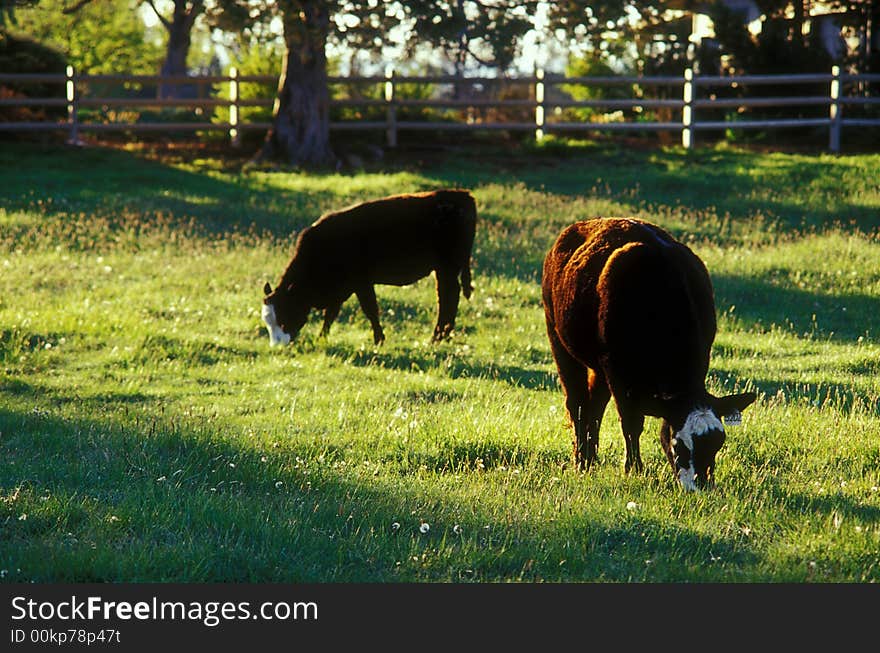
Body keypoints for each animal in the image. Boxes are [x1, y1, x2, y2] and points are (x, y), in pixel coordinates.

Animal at [262, 188, 474, 346]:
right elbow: (331, 314)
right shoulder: (341, 288)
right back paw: (443, 336)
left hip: (447, 268)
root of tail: (462, 195)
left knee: (448, 297)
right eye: (268, 322)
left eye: (283, 316)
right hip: (444, 270)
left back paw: (437, 337)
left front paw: (379, 340)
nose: (277, 346)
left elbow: (370, 309)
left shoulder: (362, 283)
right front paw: (321, 337)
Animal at [544, 218, 756, 488]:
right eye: (679, 445)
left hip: (597, 366)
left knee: (595, 406)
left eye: (718, 443)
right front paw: (633, 468)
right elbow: (631, 423)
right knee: (578, 404)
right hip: (559, 339)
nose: (701, 487)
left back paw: (591, 458)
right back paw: (581, 461)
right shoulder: (617, 371)